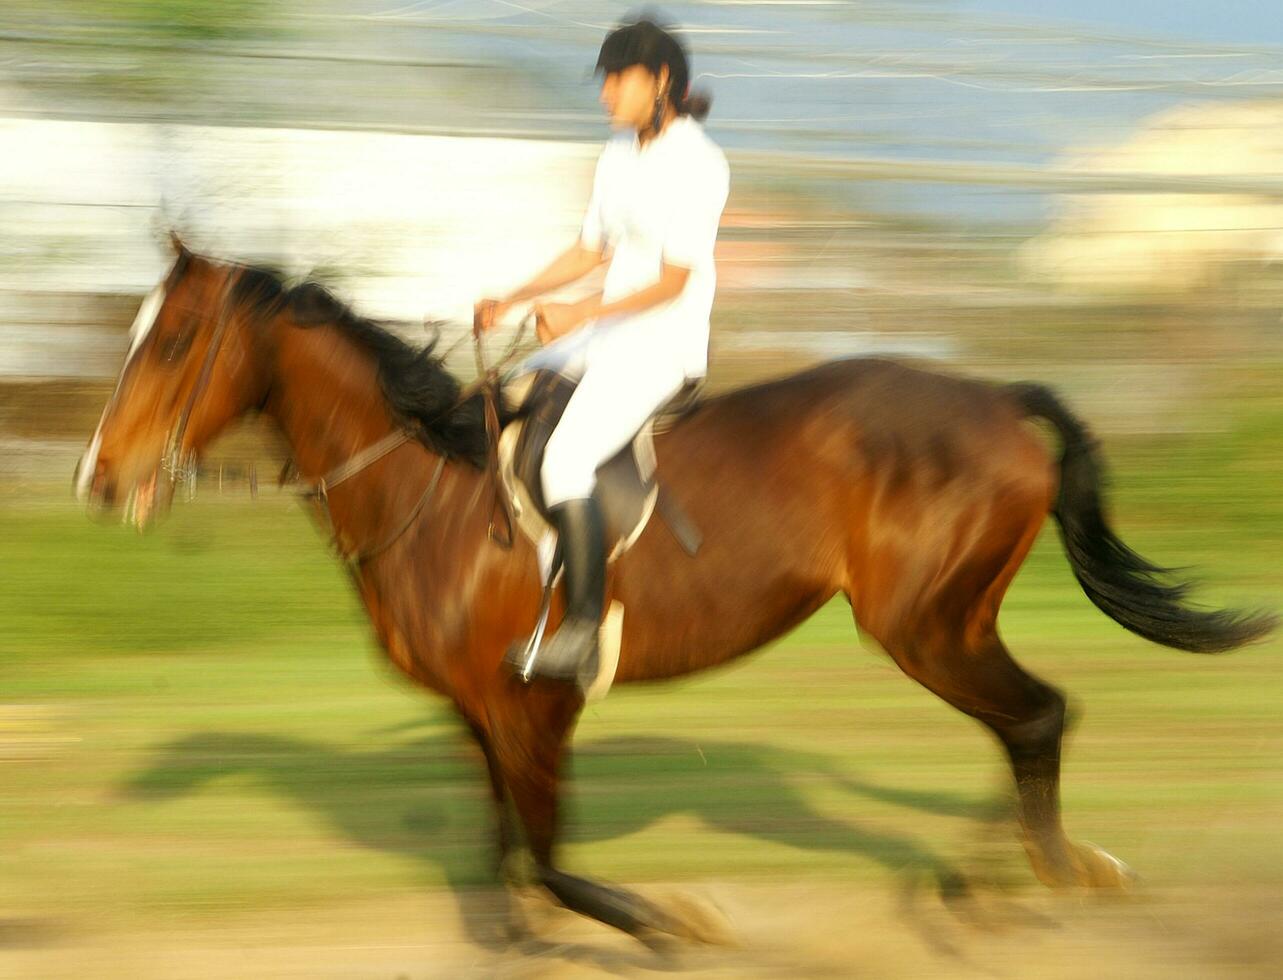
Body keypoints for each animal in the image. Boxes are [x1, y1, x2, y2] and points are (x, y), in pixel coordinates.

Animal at [77, 243, 1272, 944]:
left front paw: (671, 919)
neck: (431, 485)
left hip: (923, 626)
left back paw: (1025, 883)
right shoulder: (477, 713)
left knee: (1034, 715)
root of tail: (988, 396)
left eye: (172, 340)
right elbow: (507, 866)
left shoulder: (534, 704)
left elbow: (551, 862)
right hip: (952, 621)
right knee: (1027, 719)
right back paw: (1021, 876)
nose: (99, 478)